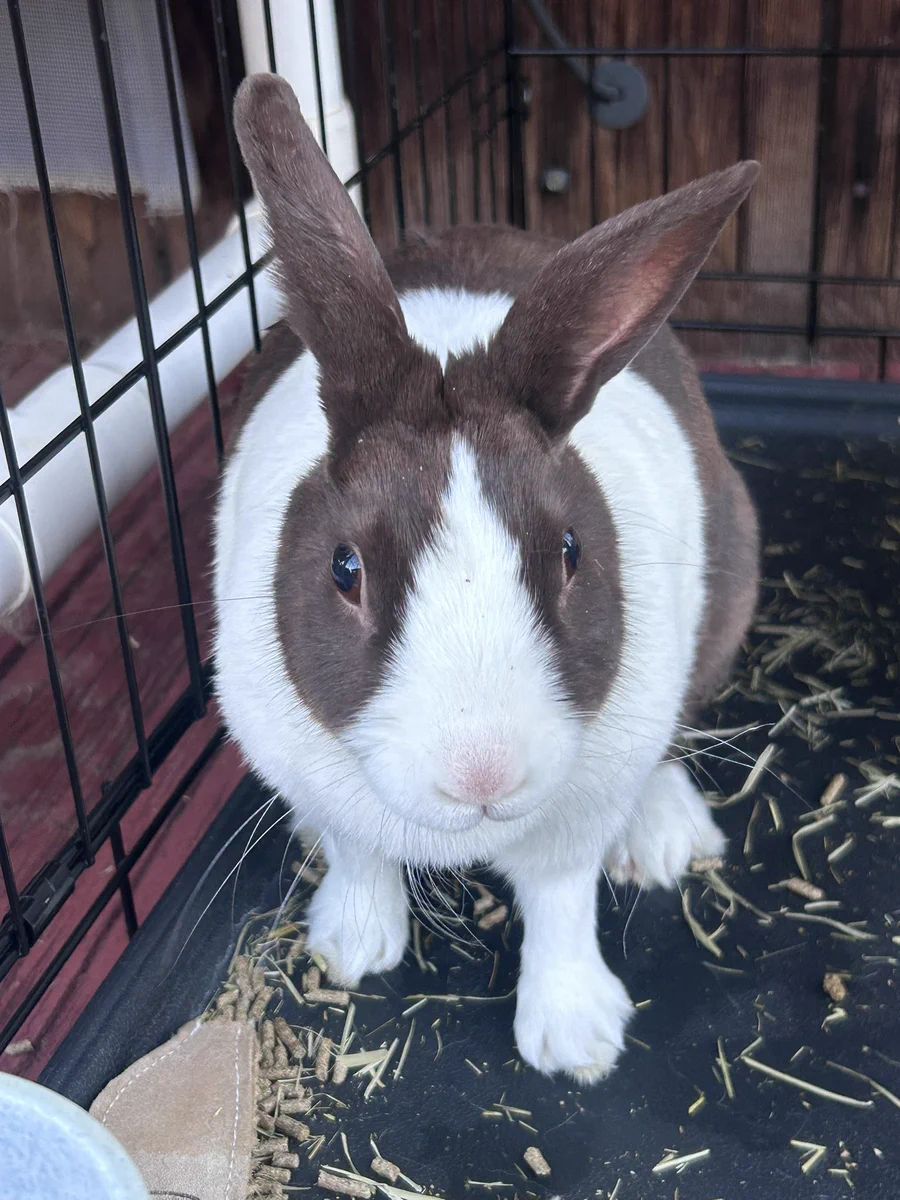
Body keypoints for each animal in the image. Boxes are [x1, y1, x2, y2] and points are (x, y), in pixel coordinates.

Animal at [214, 73, 760, 1084]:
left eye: (571, 552)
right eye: (345, 569)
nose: (484, 771)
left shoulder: (577, 815)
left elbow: (561, 902)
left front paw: (577, 1042)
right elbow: (358, 853)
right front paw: (351, 949)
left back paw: (664, 839)